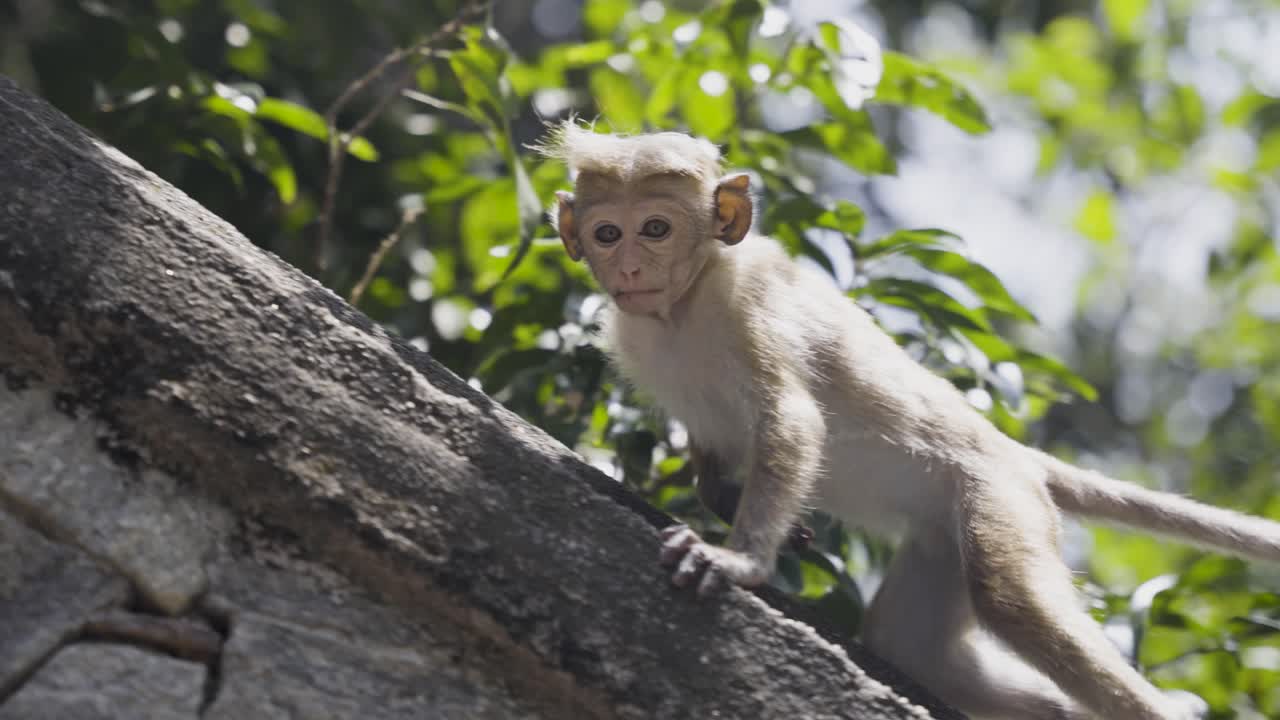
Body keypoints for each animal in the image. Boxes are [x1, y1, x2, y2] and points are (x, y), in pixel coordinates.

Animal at [538, 122, 1280, 720]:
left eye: (655, 228)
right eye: (608, 233)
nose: (631, 264)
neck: (682, 310)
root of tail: (1015, 454)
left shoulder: (749, 308)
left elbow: (793, 420)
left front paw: (740, 558)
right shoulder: (641, 344)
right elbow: (714, 450)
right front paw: (737, 506)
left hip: (1000, 499)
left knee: (1011, 598)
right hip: (939, 544)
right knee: (912, 644)